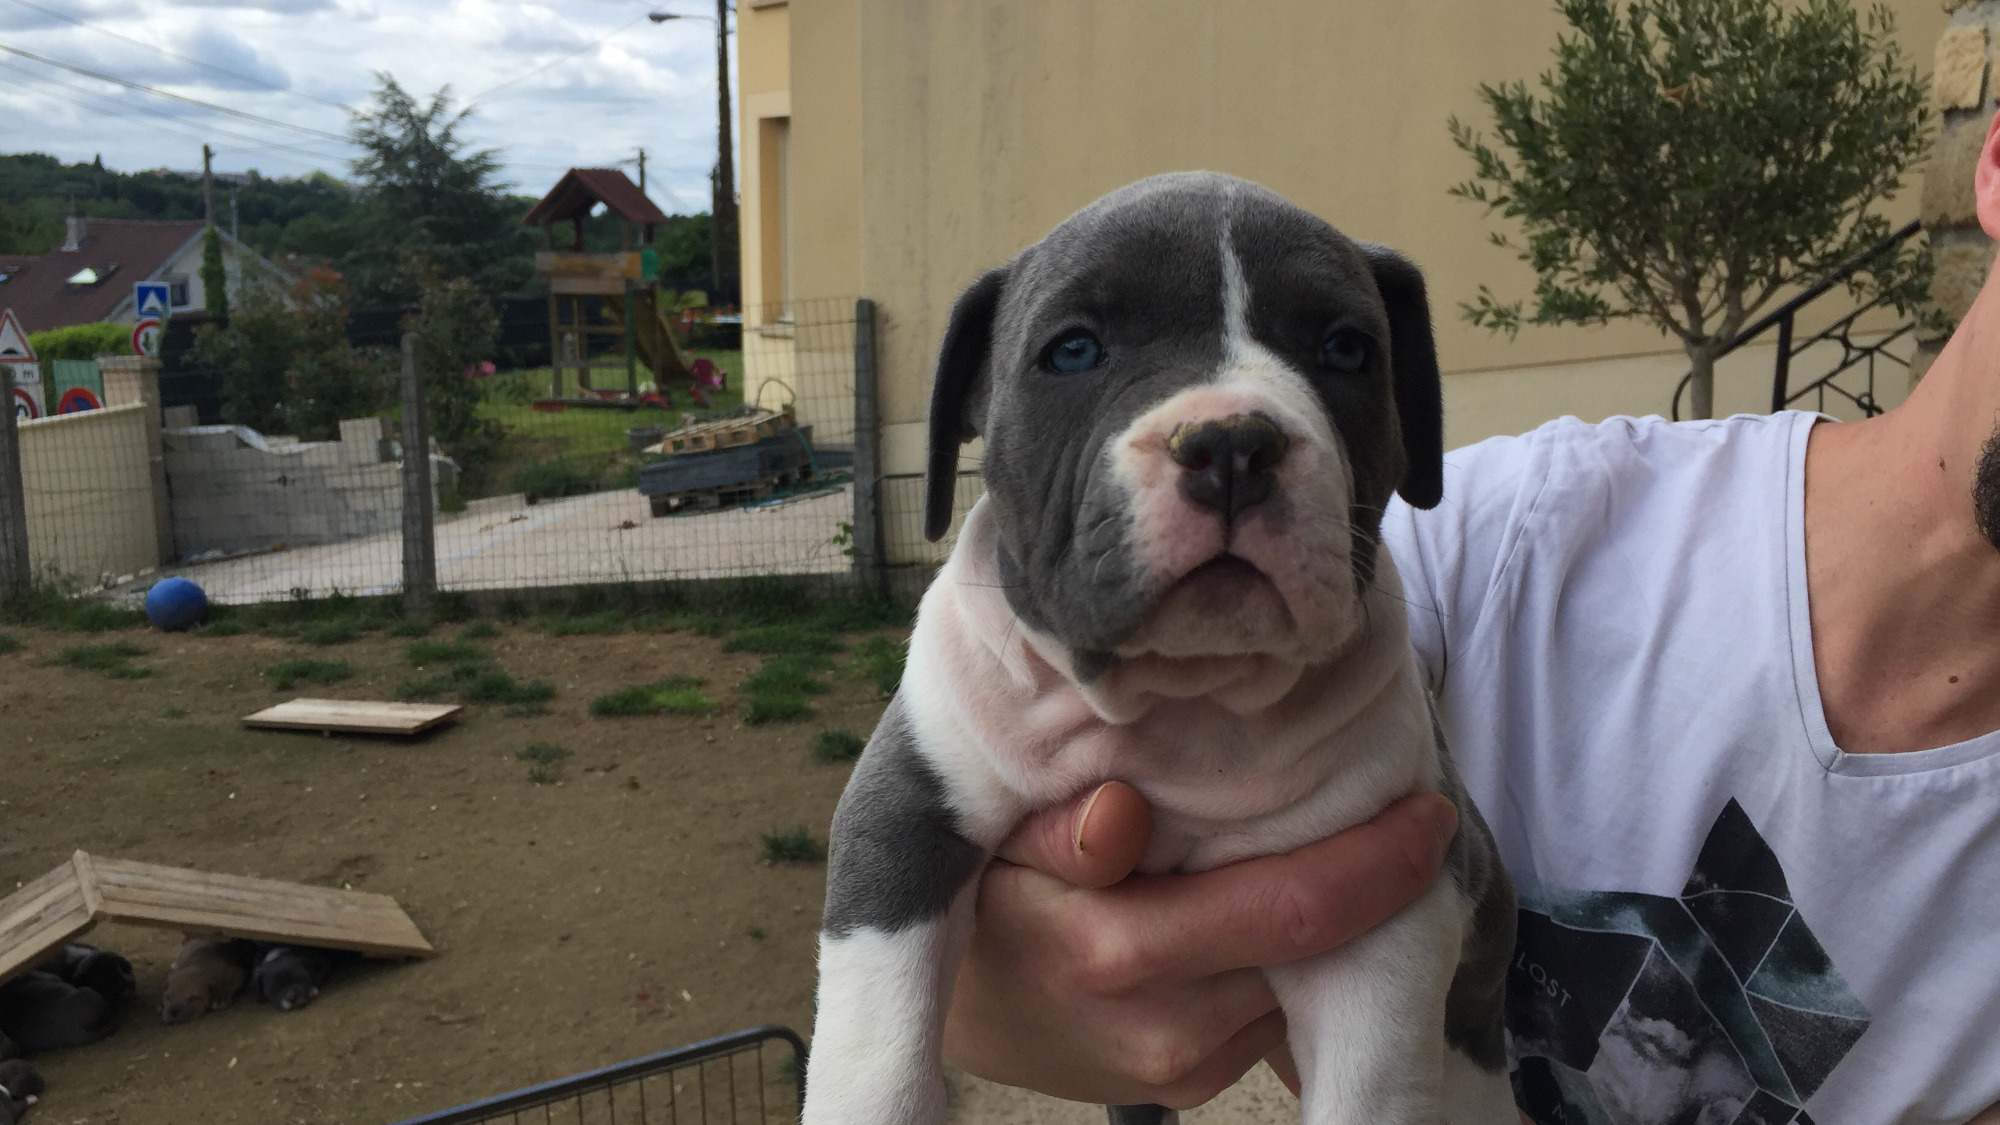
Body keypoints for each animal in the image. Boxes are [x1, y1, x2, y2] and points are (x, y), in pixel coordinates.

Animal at [804, 168, 1504, 1120]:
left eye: (1346, 350)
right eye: (1072, 351)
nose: (1232, 443)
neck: (1185, 698)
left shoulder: (1388, 917)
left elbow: (1369, 1088)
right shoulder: (902, 816)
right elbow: (875, 1061)